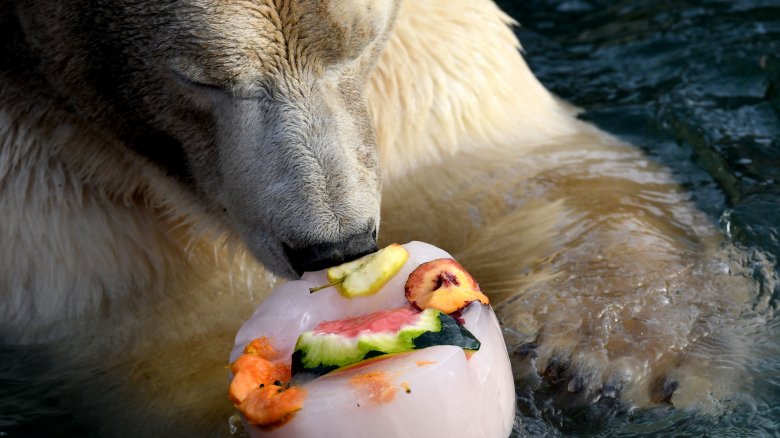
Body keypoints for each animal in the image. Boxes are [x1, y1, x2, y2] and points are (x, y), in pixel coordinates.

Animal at [0, 0, 768, 436]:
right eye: (201, 77)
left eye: (358, 45)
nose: (336, 244)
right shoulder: (46, 197)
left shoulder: (413, 67)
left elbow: (503, 159)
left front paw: (621, 353)